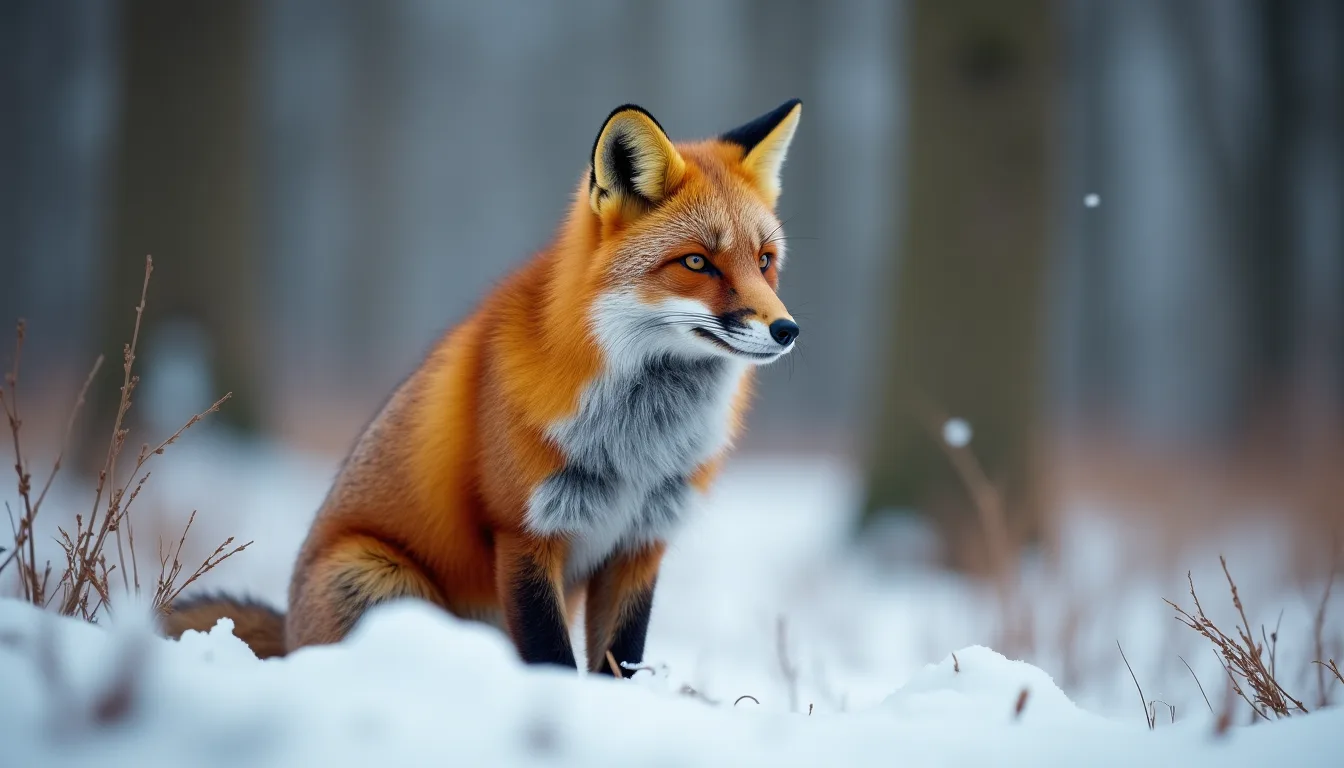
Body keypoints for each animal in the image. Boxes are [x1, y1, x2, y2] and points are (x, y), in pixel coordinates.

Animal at [162, 99, 804, 675]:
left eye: (764, 260)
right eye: (697, 263)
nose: (787, 330)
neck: (637, 445)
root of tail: (291, 636)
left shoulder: (641, 543)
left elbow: (622, 660)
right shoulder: (523, 534)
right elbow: (552, 660)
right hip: (380, 577)